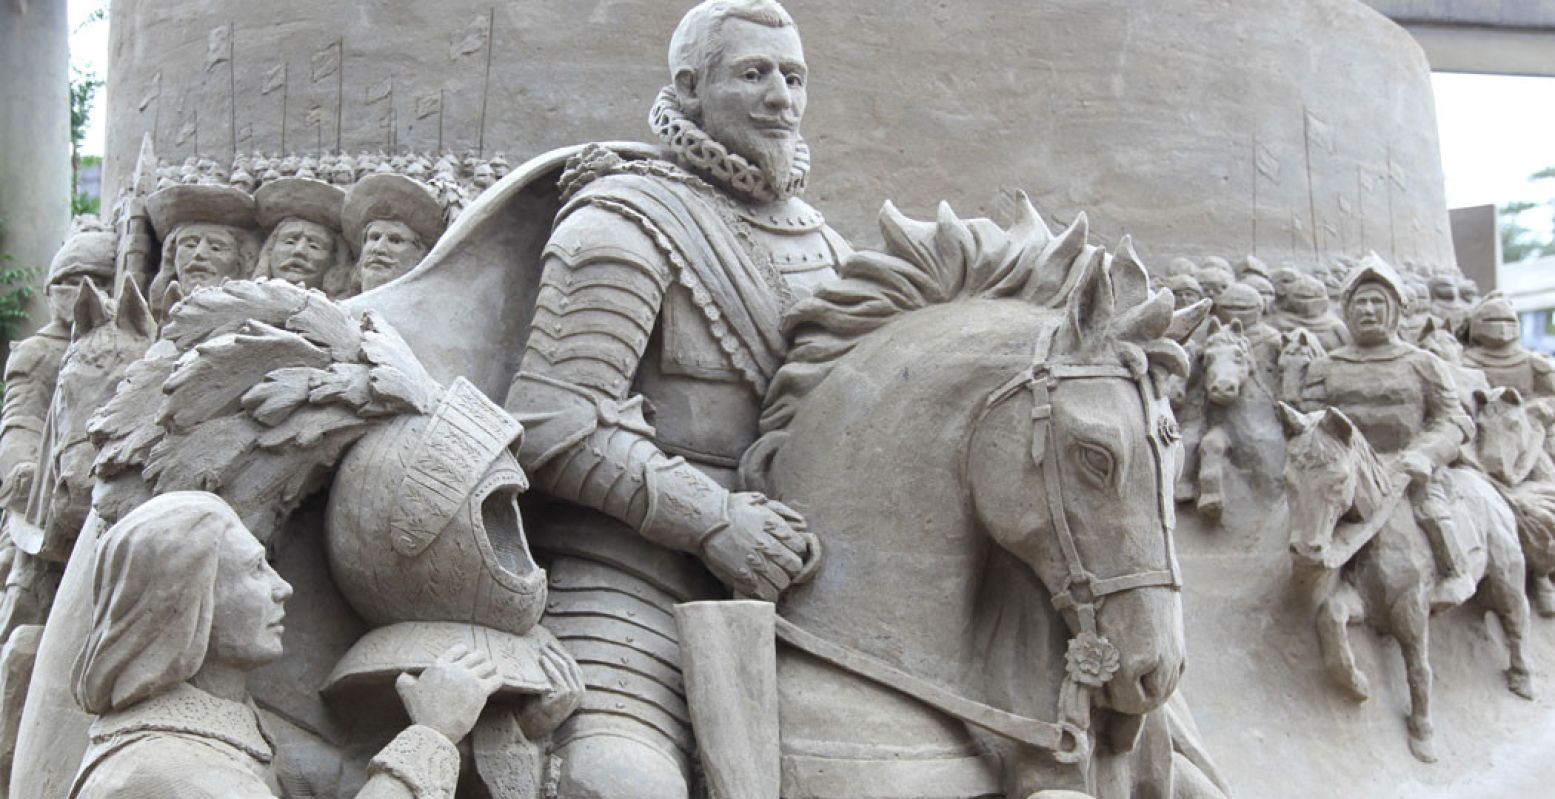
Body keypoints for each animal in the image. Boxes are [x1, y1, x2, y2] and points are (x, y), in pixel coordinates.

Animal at [1275, 404, 1530, 758]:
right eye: (1288, 479)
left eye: (1340, 480)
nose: (1305, 550)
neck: (1382, 531)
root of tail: (1489, 488)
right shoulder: (1366, 603)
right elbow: (1331, 616)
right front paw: (1357, 684)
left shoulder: (1411, 607)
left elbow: (1419, 669)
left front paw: (1423, 736)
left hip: (1507, 572)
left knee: (1515, 618)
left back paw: (1522, 680)